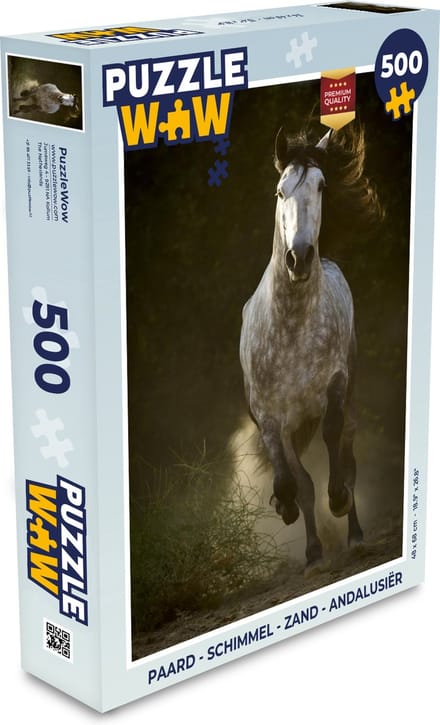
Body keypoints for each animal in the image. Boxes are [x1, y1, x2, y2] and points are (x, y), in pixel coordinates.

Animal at [239, 123, 379, 574]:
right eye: (280, 191)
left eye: (321, 186)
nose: (298, 258)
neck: (291, 329)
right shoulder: (271, 417)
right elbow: (293, 480)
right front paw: (287, 512)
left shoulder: (335, 384)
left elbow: (335, 441)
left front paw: (339, 501)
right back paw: (315, 549)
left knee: (347, 449)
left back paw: (354, 533)